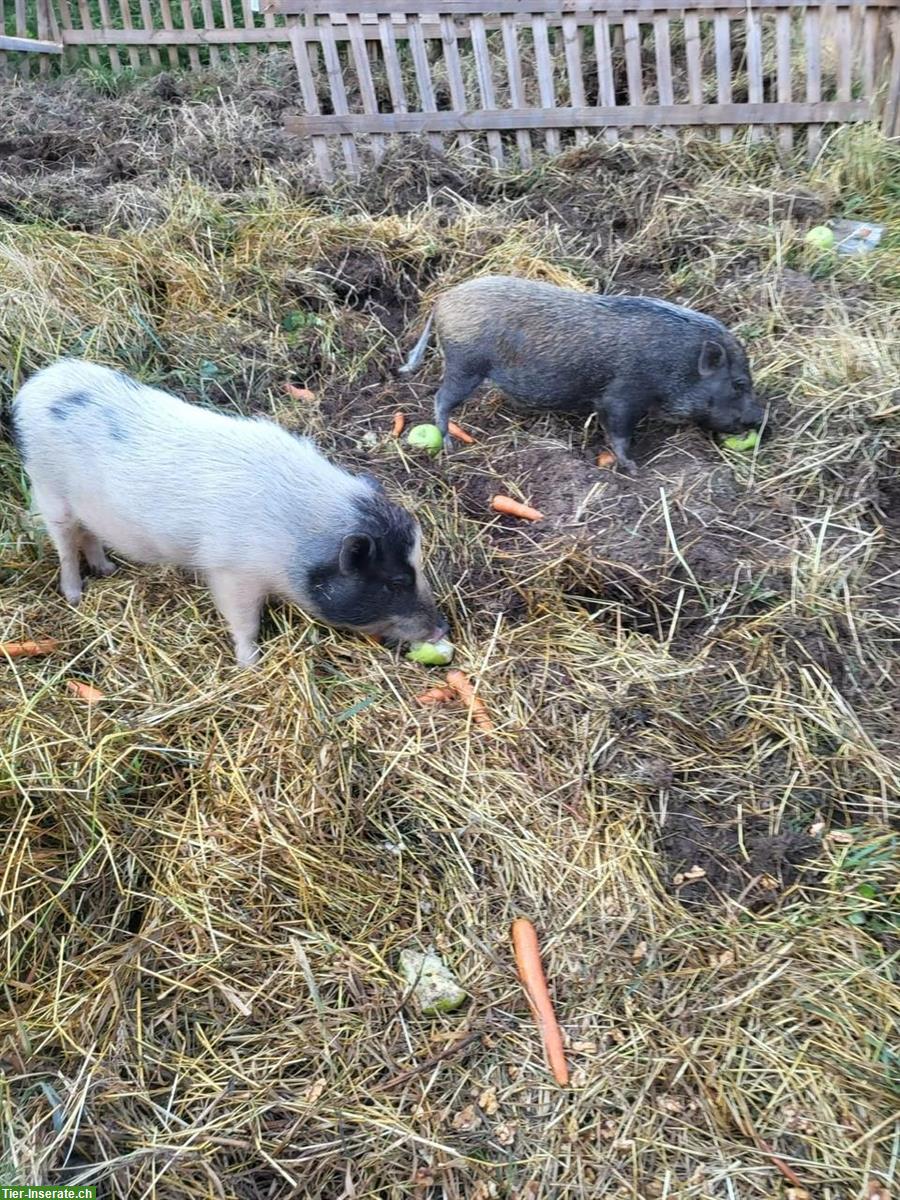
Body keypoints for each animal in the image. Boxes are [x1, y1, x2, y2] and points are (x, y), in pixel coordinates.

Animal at [14, 360, 451, 672]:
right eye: (394, 581)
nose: (442, 627)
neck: (298, 536)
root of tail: (32, 387)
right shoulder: (231, 572)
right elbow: (244, 623)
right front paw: (250, 667)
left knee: (89, 536)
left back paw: (108, 570)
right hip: (48, 491)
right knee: (66, 547)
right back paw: (75, 596)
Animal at [400, 276, 763, 472]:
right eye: (739, 383)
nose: (760, 419)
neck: (678, 364)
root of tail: (443, 300)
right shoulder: (621, 397)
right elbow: (619, 434)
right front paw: (633, 468)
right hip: (465, 364)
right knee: (441, 399)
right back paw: (449, 446)